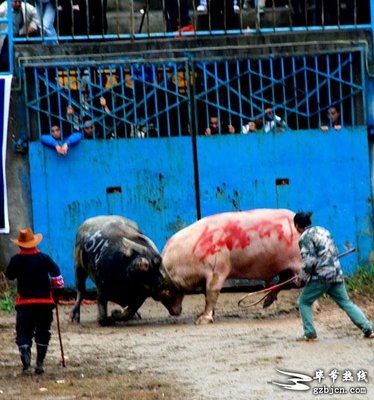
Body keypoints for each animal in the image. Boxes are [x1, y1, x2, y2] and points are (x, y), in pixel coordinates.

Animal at [159, 209, 302, 324]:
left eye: (166, 292)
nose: (174, 313)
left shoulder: (217, 270)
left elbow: (211, 293)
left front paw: (202, 320)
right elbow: (206, 293)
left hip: (298, 263)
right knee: (285, 278)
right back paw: (267, 302)